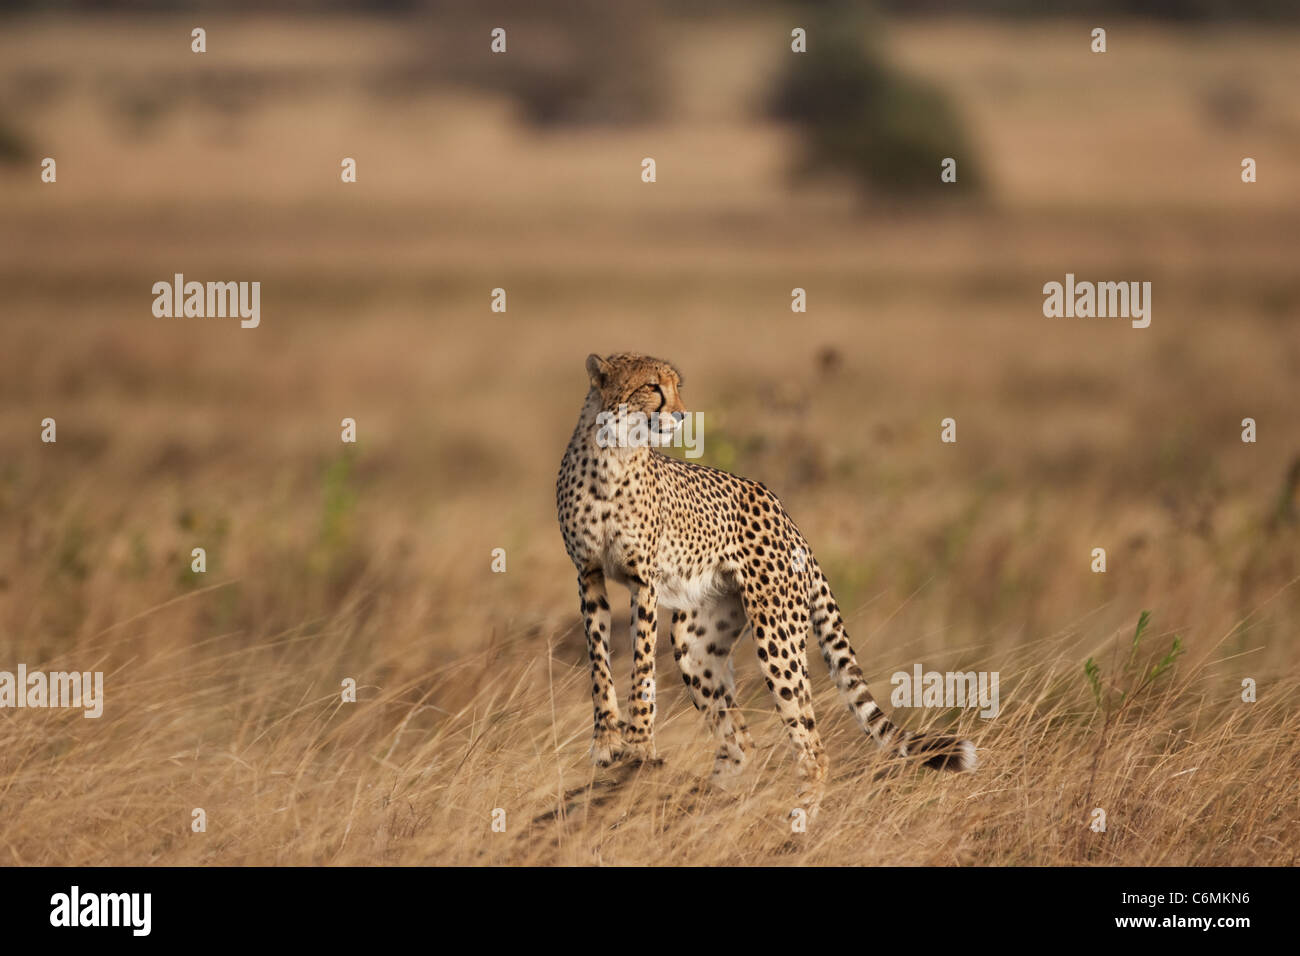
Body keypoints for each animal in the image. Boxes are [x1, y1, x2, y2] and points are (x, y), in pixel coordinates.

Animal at [553, 356, 972, 811]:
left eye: (677, 387)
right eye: (651, 387)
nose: (681, 415)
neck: (611, 454)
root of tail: (787, 516)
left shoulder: (643, 581)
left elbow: (642, 666)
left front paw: (640, 745)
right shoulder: (588, 574)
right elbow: (599, 662)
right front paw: (607, 742)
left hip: (777, 632)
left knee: (812, 748)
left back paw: (796, 819)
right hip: (694, 644)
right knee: (739, 743)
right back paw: (707, 809)